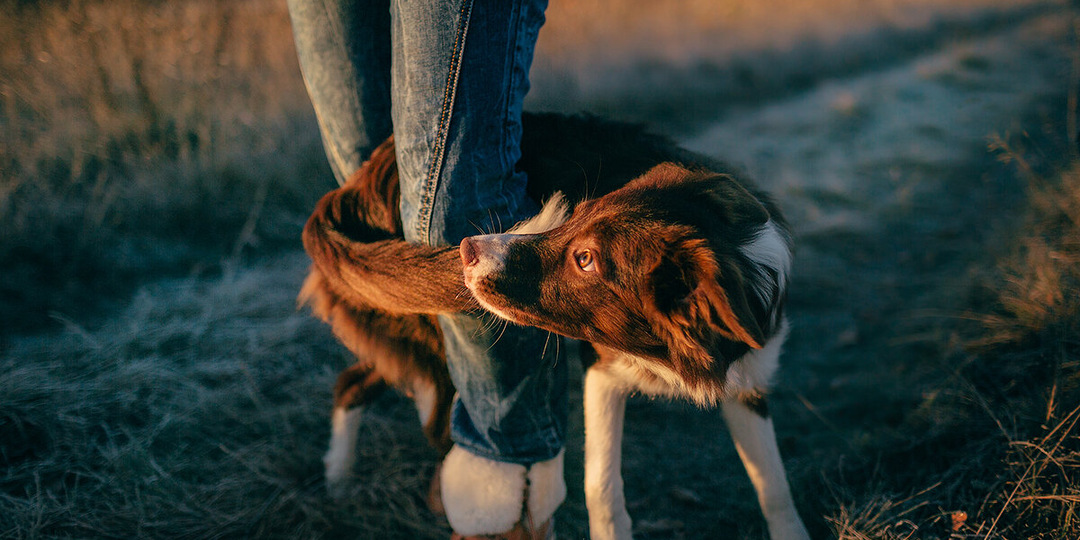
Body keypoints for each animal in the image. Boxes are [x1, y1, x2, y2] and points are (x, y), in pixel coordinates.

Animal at [300, 113, 807, 540]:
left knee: (352, 382)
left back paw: (336, 481)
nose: (467, 249)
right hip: (437, 351)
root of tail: (356, 185)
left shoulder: (747, 377)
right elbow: (602, 487)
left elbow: (774, 484)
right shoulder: (603, 372)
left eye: (585, 259)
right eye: (575, 214)